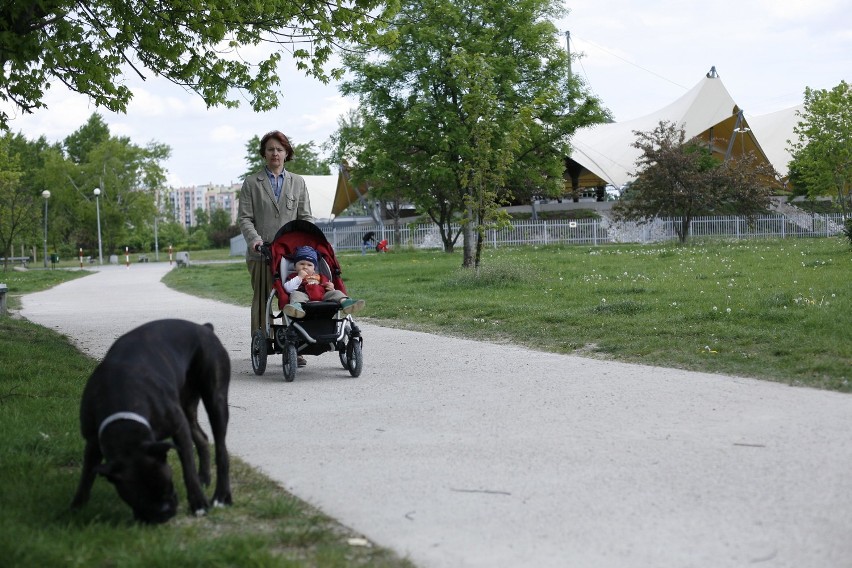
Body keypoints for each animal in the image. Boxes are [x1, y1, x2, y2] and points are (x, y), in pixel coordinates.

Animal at [70, 320, 231, 524]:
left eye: (167, 487)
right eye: (135, 497)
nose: (164, 513)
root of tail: (204, 327)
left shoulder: (178, 427)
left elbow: (188, 468)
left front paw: (199, 504)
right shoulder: (92, 442)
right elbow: (86, 476)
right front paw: (75, 509)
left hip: (215, 399)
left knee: (221, 449)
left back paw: (221, 496)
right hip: (187, 405)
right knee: (202, 437)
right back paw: (204, 478)